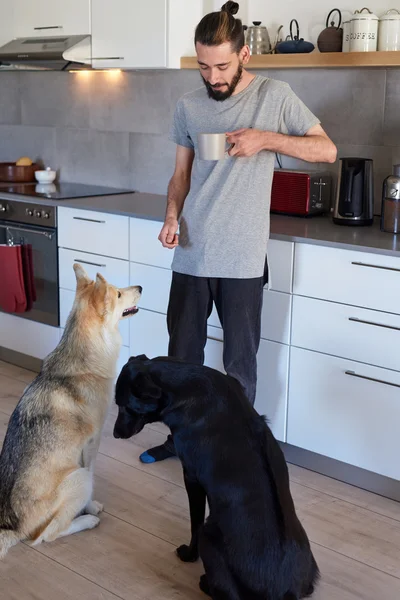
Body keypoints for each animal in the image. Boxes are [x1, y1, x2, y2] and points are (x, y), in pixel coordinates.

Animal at [112, 356, 318, 600]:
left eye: (126, 406)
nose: (115, 434)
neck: (182, 386)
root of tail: (284, 592)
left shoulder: (191, 478)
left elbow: (195, 523)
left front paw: (189, 555)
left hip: (209, 537)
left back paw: (205, 583)